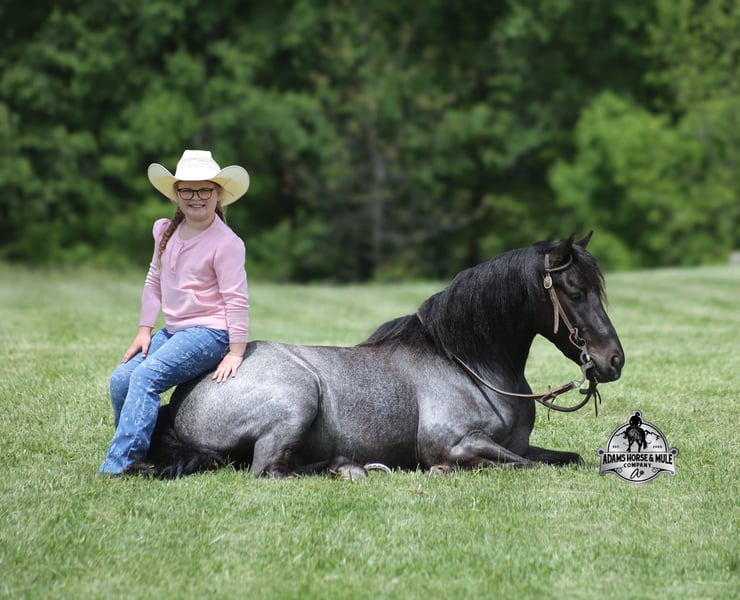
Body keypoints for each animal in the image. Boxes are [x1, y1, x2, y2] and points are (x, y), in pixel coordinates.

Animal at [131, 232, 624, 479]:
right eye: (574, 292)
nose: (613, 360)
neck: (471, 367)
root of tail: (184, 395)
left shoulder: (517, 445)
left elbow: (564, 459)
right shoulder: (457, 443)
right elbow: (525, 467)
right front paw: (440, 473)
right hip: (296, 401)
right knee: (270, 471)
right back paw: (350, 469)